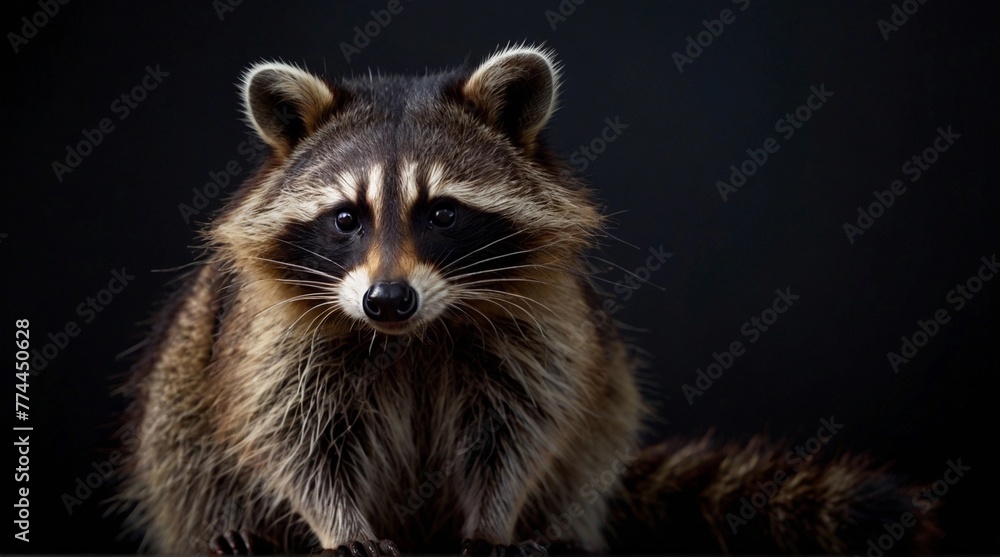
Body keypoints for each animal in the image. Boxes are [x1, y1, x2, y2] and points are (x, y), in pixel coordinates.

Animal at [117, 45, 937, 555]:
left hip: (604, 415)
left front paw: (497, 519)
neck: (417, 331)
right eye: (346, 218)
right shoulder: (283, 334)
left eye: (442, 213)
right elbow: (295, 435)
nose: (387, 300)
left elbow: (519, 427)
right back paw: (233, 526)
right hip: (186, 375)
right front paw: (338, 524)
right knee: (187, 445)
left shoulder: (543, 322)